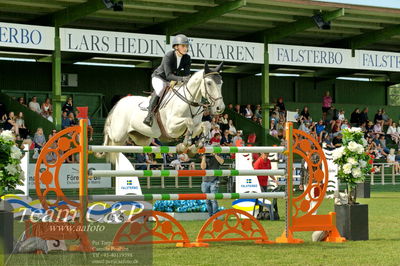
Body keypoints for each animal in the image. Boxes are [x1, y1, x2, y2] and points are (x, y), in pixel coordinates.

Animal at [97, 61, 225, 162]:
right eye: (209, 83)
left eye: (221, 83)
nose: (220, 108)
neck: (189, 101)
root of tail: (119, 102)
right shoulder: (171, 128)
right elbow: (189, 121)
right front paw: (185, 144)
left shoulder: (194, 126)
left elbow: (205, 124)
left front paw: (196, 146)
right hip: (118, 134)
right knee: (110, 135)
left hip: (142, 139)